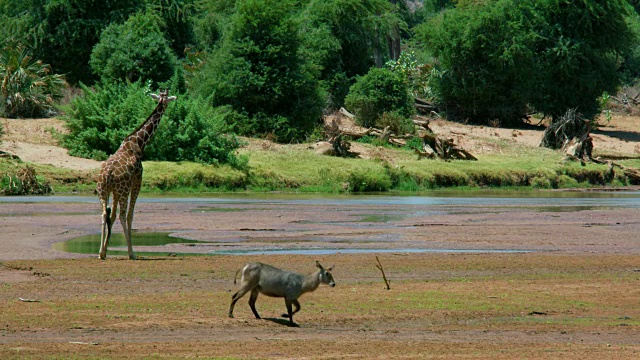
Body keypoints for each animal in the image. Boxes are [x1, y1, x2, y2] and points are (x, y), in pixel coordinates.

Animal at [95, 89, 175, 258]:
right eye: (166, 99)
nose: (165, 105)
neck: (140, 142)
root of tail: (107, 174)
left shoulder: (115, 192)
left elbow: (111, 216)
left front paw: (105, 249)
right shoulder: (138, 180)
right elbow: (130, 215)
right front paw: (130, 251)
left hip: (103, 190)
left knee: (104, 214)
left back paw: (100, 253)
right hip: (124, 190)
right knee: (123, 215)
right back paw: (131, 253)